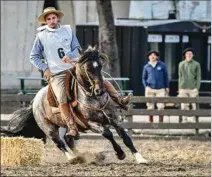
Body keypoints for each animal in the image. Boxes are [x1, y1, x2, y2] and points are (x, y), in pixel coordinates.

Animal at [1, 46, 147, 165]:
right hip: (49, 128)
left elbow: (126, 138)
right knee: (59, 143)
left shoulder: (115, 119)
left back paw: (85, 156)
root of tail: (35, 101)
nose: (100, 91)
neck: (94, 98)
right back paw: (73, 158)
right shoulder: (91, 124)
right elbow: (108, 133)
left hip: (66, 126)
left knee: (68, 139)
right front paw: (120, 153)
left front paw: (140, 158)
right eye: (87, 68)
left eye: (100, 66)